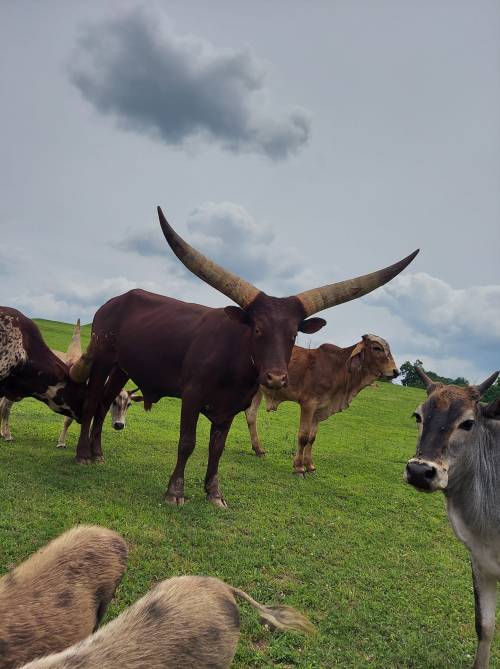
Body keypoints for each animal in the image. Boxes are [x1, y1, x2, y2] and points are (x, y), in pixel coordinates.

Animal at [245, 333, 399, 474]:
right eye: (377, 348)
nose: (396, 371)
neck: (337, 368)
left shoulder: (319, 409)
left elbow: (312, 438)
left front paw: (310, 466)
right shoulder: (308, 404)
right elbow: (303, 436)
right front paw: (299, 467)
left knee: (251, 415)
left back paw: (259, 450)